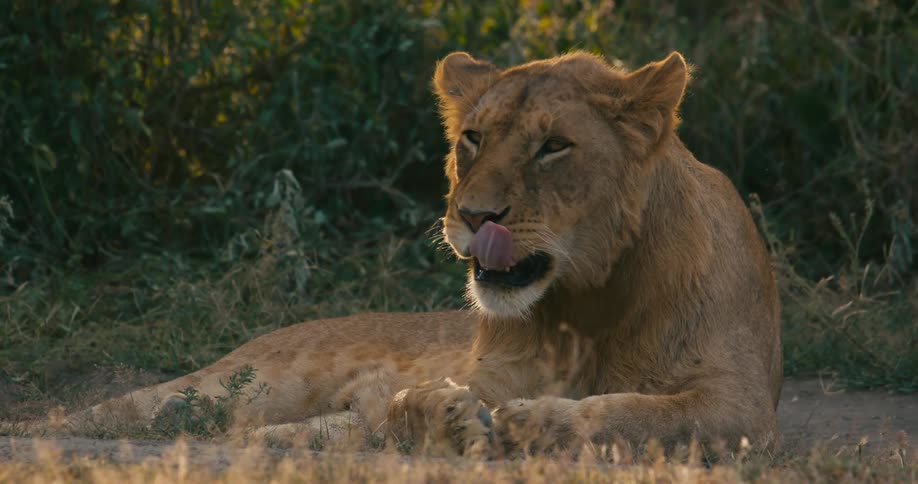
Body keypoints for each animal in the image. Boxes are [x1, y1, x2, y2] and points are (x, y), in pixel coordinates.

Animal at [76, 50, 782, 457]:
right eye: (472, 137)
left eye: (553, 146)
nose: (474, 216)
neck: (586, 303)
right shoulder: (491, 372)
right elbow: (405, 400)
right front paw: (446, 415)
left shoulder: (740, 401)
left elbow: (643, 415)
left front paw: (543, 425)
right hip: (252, 379)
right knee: (124, 408)